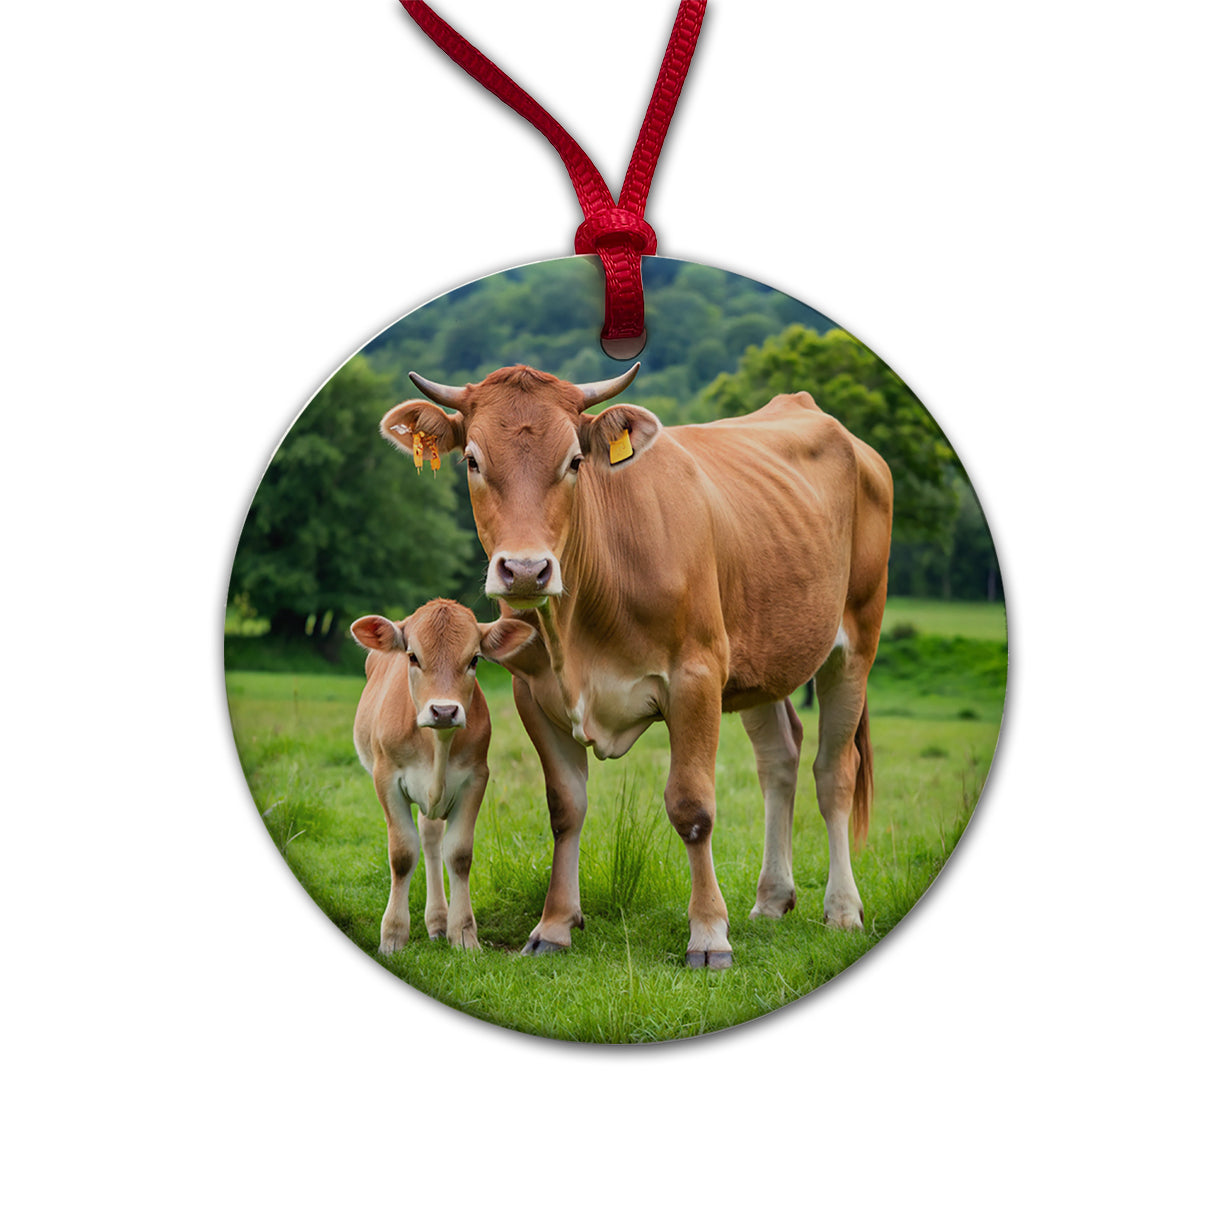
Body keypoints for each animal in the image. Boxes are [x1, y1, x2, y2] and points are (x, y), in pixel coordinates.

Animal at [351, 599, 534, 953]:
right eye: (412, 656)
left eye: (474, 659)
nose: (445, 711)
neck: (437, 742)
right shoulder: (386, 777)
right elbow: (402, 853)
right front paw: (393, 936)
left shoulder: (476, 777)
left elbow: (459, 853)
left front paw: (463, 934)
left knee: (432, 837)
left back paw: (438, 920)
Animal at [380, 364, 892, 968]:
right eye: (472, 461)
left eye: (575, 461)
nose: (526, 570)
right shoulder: (533, 692)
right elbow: (565, 807)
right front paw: (554, 925)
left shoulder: (697, 677)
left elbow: (693, 807)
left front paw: (709, 935)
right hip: (761, 658)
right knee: (779, 759)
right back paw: (771, 898)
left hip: (855, 643)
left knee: (834, 771)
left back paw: (842, 909)